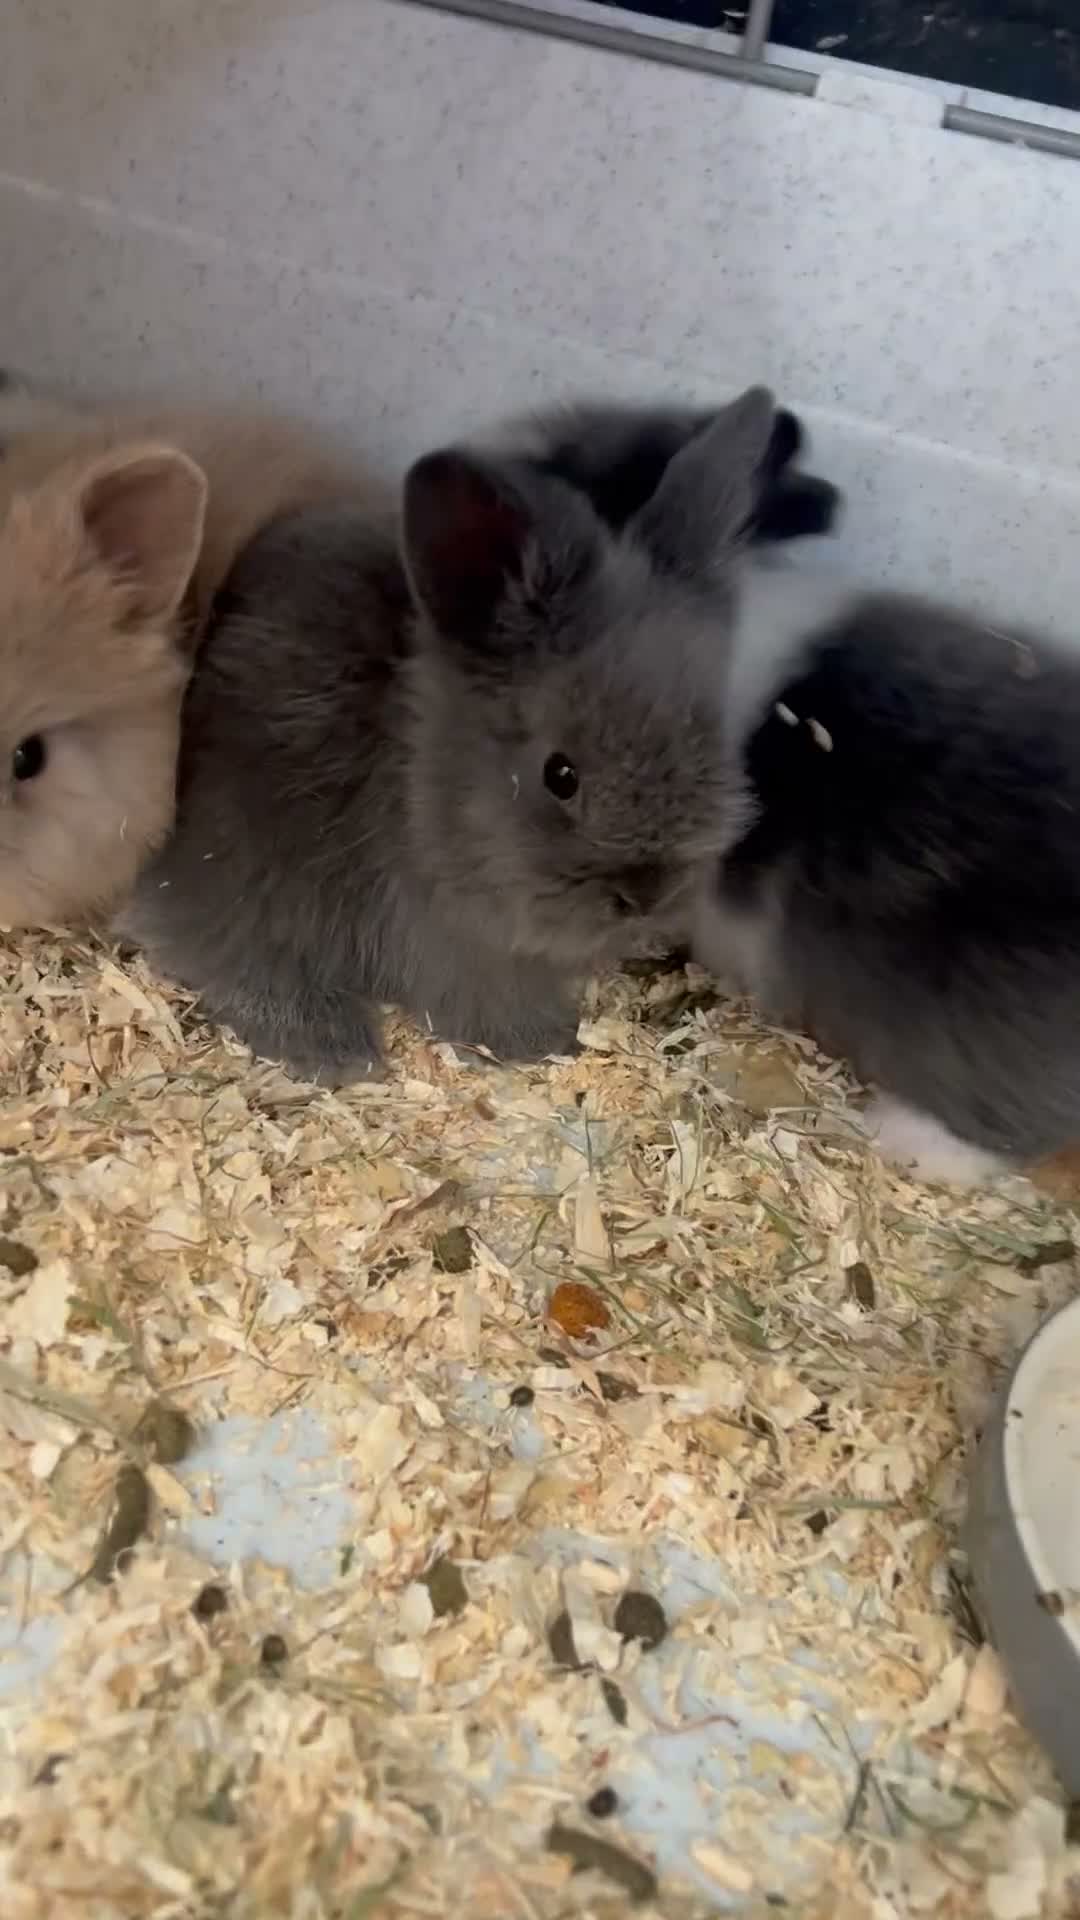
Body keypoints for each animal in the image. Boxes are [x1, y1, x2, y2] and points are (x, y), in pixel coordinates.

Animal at [119, 386, 783, 1082]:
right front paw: (545, 1045)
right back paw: (342, 1055)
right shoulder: (458, 946)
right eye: (560, 774)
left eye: (715, 736)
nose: (647, 894)